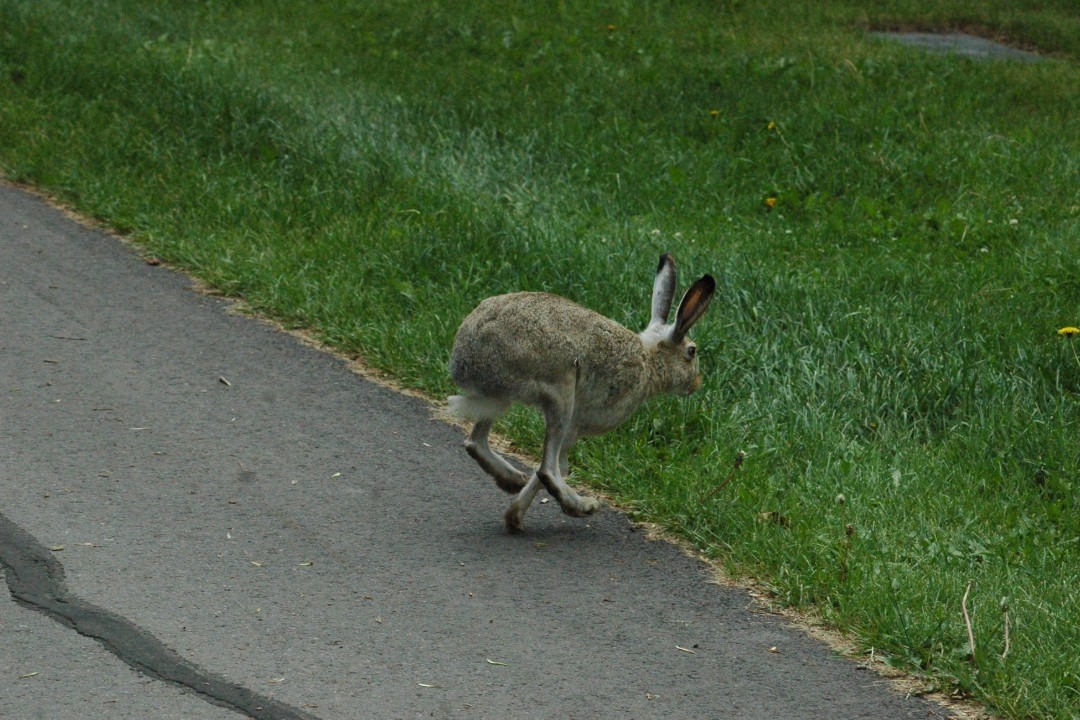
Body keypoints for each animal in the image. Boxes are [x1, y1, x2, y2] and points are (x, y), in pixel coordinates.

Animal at [448, 253, 715, 532]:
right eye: (692, 352)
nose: (697, 383)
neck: (648, 360)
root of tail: (465, 361)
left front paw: (514, 518)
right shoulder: (577, 424)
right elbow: (557, 466)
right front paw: (518, 515)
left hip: (502, 398)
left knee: (476, 442)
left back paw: (512, 480)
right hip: (561, 390)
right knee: (548, 468)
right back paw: (582, 506)